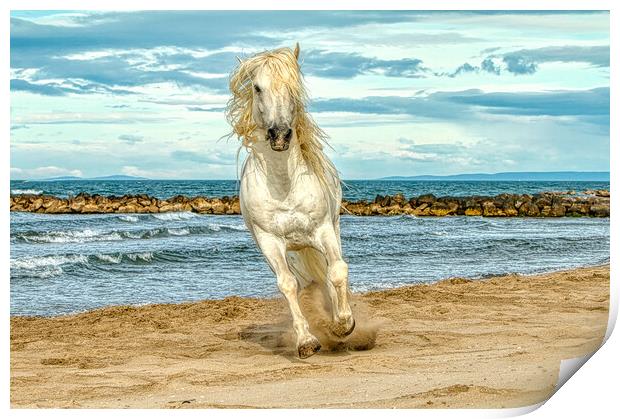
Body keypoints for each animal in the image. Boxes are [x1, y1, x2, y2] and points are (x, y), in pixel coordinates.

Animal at [226, 44, 354, 360]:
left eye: (293, 88)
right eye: (258, 88)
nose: (280, 135)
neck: (283, 184)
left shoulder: (323, 230)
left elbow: (337, 272)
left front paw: (343, 324)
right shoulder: (269, 241)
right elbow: (287, 285)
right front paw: (306, 341)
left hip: (330, 231)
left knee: (331, 273)